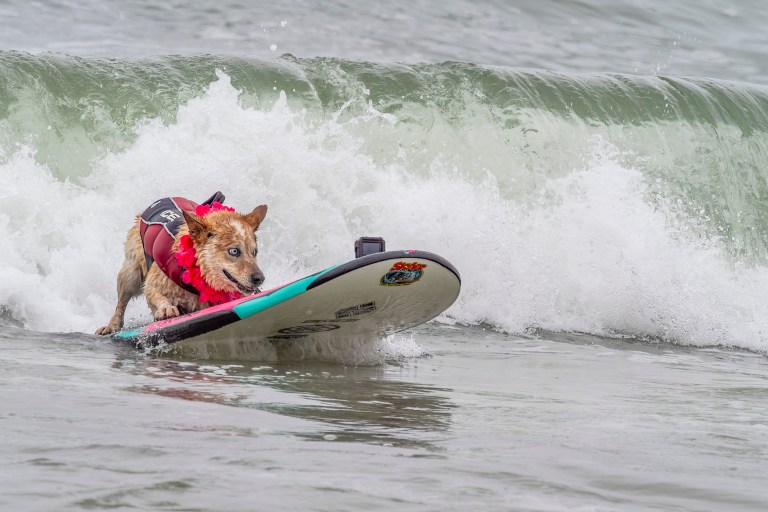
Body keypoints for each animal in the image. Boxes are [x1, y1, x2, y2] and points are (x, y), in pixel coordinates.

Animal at [96, 194, 268, 334]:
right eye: (234, 251)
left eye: (255, 252)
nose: (259, 278)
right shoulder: (154, 282)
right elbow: (153, 293)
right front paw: (166, 308)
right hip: (130, 275)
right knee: (121, 303)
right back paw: (111, 326)